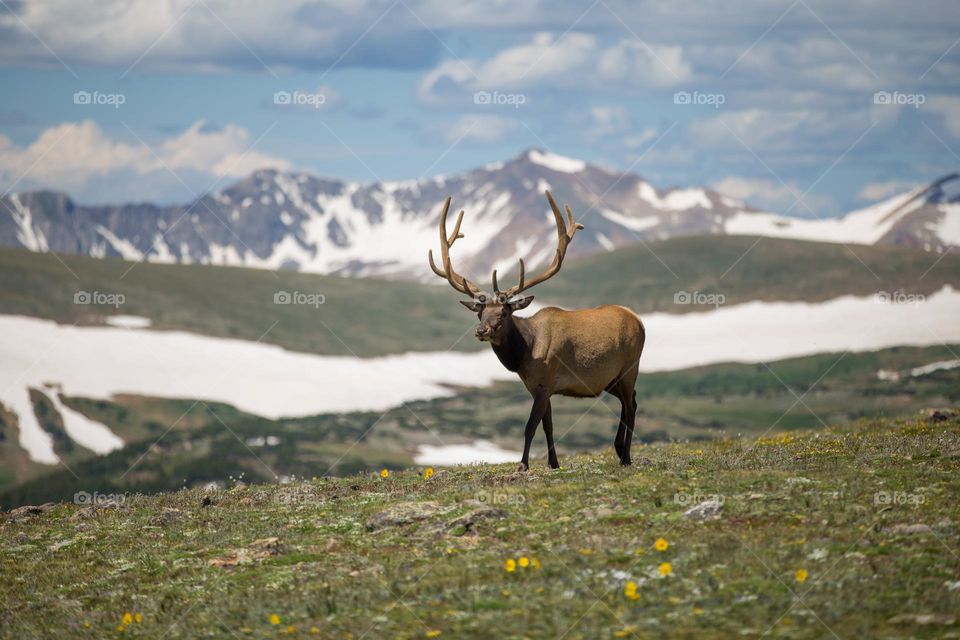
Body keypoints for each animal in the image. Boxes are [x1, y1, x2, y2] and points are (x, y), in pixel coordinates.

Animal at [428, 190, 645, 471]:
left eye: (504, 313)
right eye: (479, 312)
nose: (481, 330)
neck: (525, 354)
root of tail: (638, 319)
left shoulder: (545, 379)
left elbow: (530, 426)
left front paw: (523, 465)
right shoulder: (537, 386)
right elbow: (548, 425)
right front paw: (553, 463)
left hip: (631, 367)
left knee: (631, 405)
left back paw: (626, 456)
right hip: (610, 379)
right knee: (631, 401)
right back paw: (619, 449)